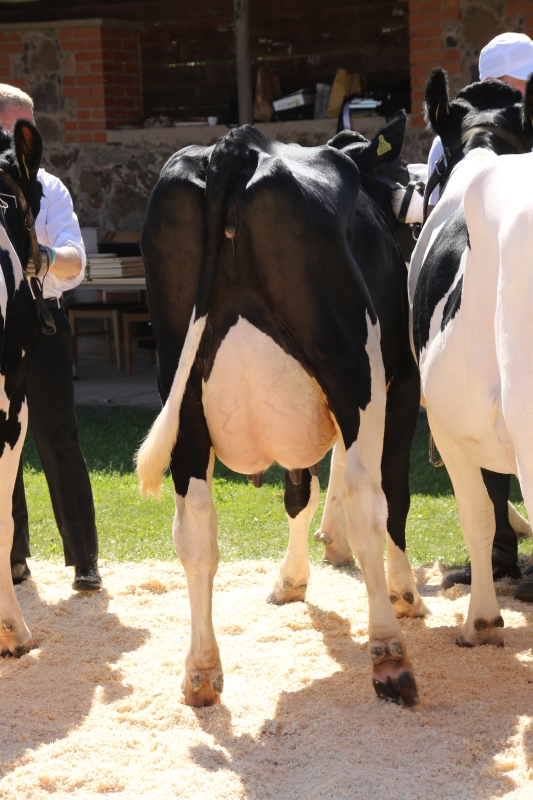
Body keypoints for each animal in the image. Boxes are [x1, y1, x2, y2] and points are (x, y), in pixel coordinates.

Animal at [138, 124, 423, 708]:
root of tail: (237, 144)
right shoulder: (402, 383)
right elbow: (393, 497)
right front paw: (405, 592)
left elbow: (299, 491)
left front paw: (291, 581)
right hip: (353, 372)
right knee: (367, 498)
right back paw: (390, 656)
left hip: (182, 397)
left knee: (194, 527)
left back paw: (201, 673)